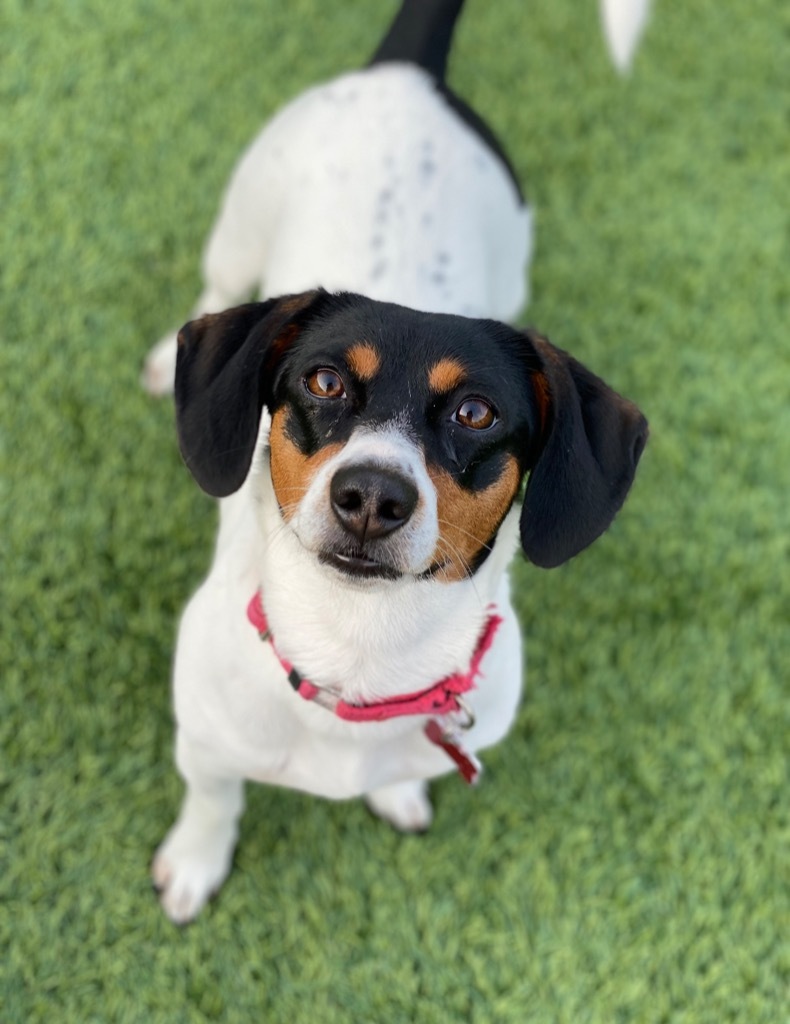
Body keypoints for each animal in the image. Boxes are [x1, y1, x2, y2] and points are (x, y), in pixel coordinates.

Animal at [146, 0, 647, 929]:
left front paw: (398, 796)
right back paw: (167, 358)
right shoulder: (204, 744)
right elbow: (215, 802)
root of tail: (406, 74)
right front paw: (194, 865)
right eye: (324, 380)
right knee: (213, 287)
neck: (358, 650)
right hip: (240, 223)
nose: (372, 497)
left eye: (477, 412)